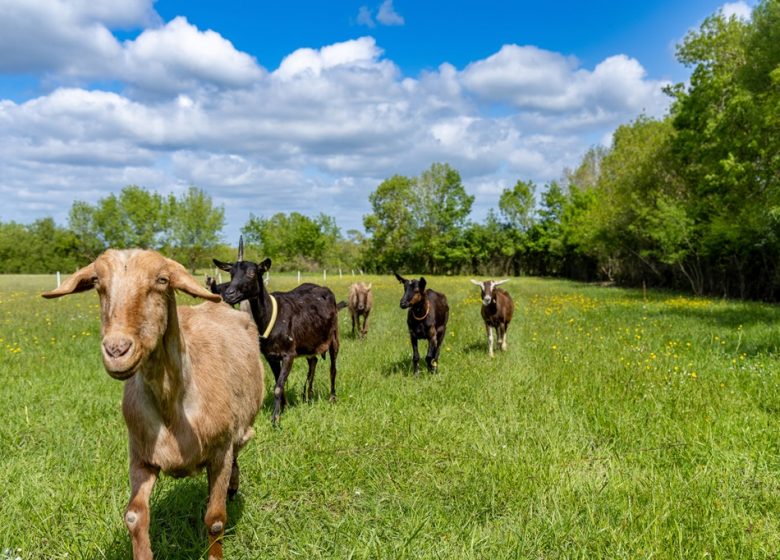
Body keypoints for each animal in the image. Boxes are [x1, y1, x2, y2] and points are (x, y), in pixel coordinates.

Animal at [43, 250, 266, 560]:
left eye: (162, 280)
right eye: (97, 282)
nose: (117, 350)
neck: (174, 408)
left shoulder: (220, 451)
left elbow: (215, 520)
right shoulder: (141, 454)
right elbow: (134, 516)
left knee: (237, 455)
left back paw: (232, 487)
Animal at [218, 240, 342, 424]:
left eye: (252, 273)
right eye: (231, 273)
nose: (229, 294)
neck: (271, 316)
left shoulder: (289, 353)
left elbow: (278, 387)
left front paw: (275, 419)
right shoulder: (270, 356)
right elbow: (279, 382)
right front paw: (284, 408)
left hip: (334, 336)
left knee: (333, 368)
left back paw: (332, 398)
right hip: (309, 342)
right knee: (313, 362)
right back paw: (307, 396)